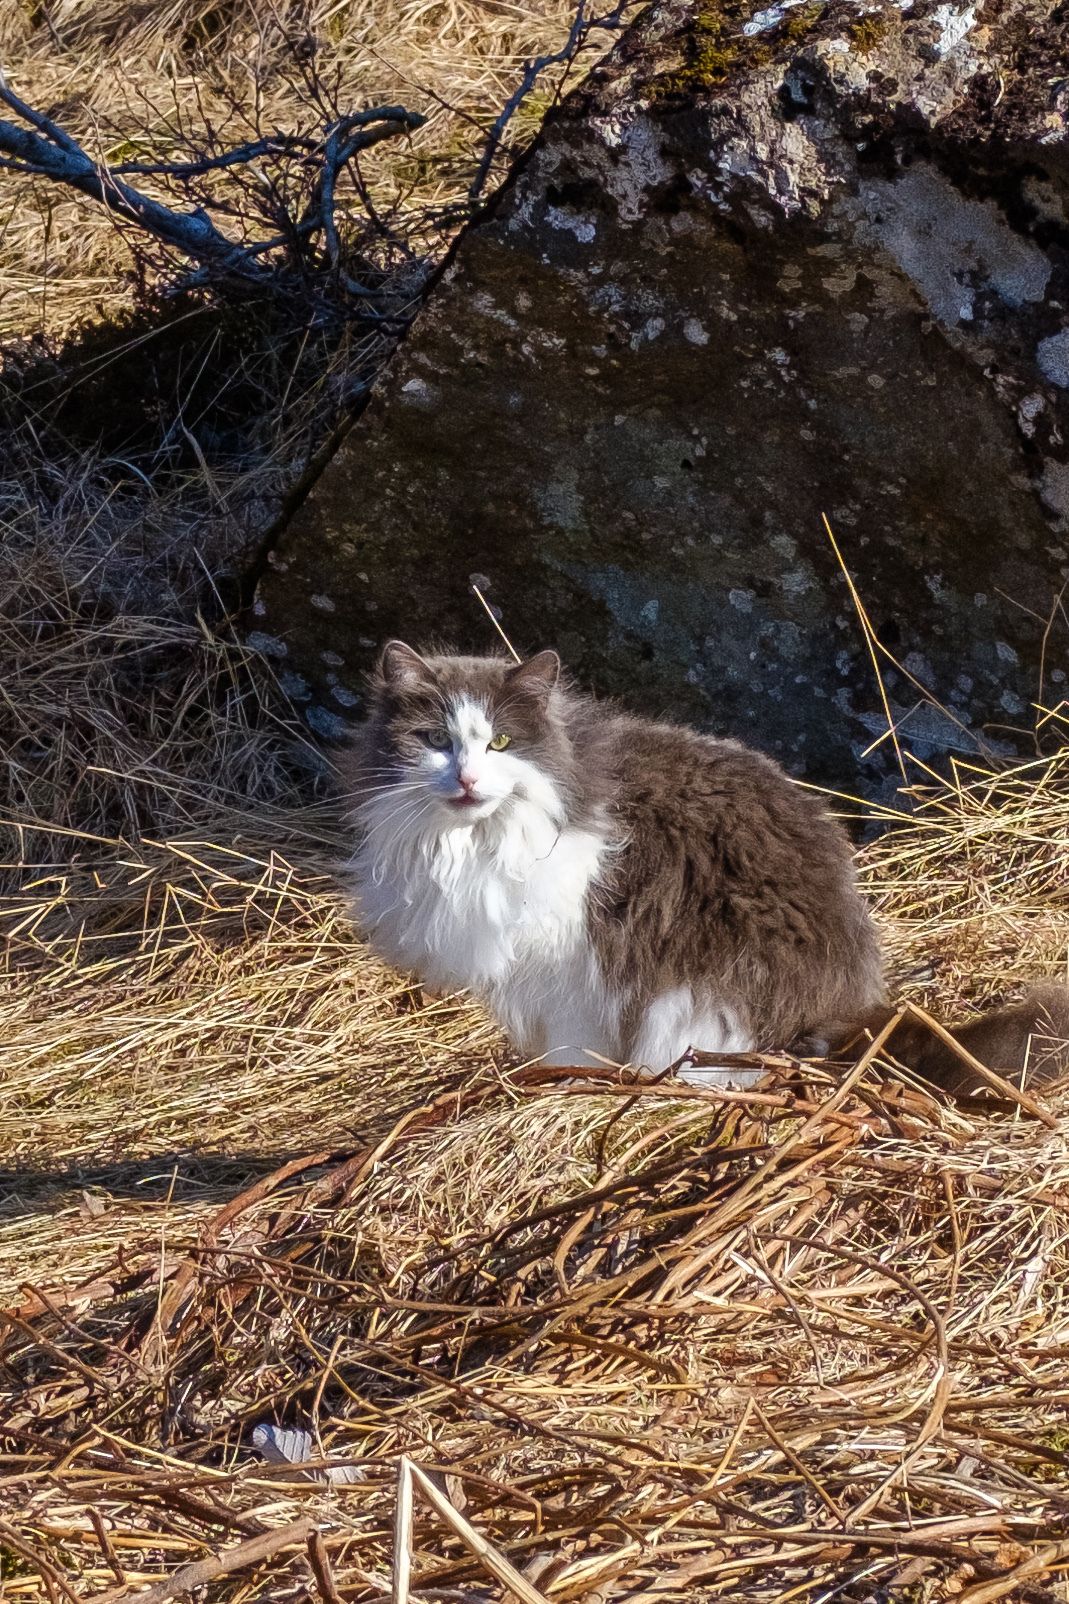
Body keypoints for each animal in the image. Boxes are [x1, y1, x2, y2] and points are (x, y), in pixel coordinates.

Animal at [341, 638, 1065, 1090]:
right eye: (434, 741)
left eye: (501, 742)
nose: (466, 778)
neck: (473, 842)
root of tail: (853, 1006)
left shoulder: (571, 965)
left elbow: (572, 1047)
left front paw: (561, 1088)